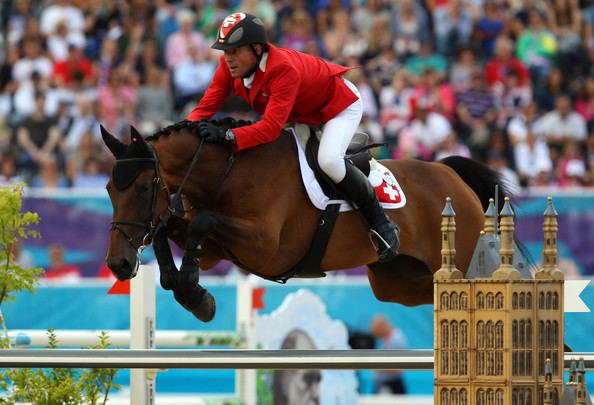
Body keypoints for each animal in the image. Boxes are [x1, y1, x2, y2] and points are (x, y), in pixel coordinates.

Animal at [100, 119, 504, 322]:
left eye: (142, 188)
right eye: (108, 189)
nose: (118, 264)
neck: (230, 170)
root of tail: (451, 174)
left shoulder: (267, 248)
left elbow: (201, 223)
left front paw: (196, 296)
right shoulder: (216, 250)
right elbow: (170, 229)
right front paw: (189, 291)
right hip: (396, 283)